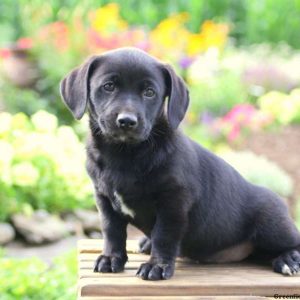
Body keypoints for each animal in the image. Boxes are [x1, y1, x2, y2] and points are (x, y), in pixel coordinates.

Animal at [61, 47, 300, 278]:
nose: (127, 121)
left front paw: (157, 266)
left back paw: (287, 260)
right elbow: (112, 231)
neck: (125, 154)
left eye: (150, 92)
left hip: (271, 223)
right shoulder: (104, 199)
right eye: (108, 86)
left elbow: (163, 235)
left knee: (292, 244)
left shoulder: (173, 201)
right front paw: (111, 259)